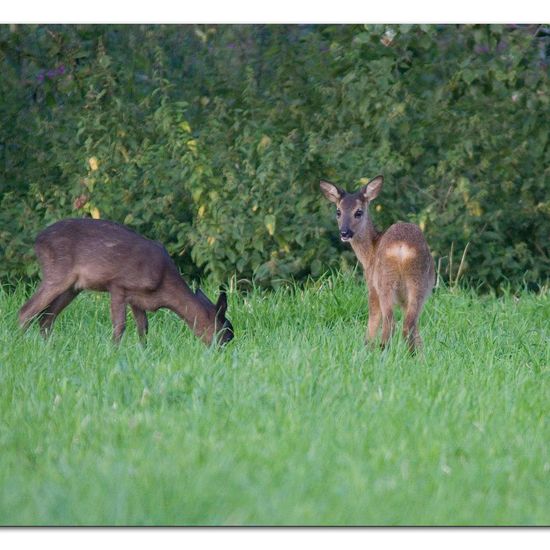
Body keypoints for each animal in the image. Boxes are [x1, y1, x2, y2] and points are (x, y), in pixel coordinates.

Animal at [18, 219, 235, 344]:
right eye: (226, 336)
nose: (222, 353)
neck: (163, 284)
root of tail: (37, 240)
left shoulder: (137, 299)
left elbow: (143, 328)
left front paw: (143, 352)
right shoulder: (118, 285)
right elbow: (120, 326)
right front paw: (113, 352)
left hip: (73, 287)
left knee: (46, 317)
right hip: (57, 273)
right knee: (26, 311)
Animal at [324, 176, 436, 354]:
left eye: (359, 212)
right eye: (338, 212)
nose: (344, 232)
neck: (370, 251)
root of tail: (402, 248)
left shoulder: (371, 286)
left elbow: (373, 320)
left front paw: (366, 347)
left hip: (384, 281)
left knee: (390, 322)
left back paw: (382, 351)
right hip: (419, 283)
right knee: (409, 323)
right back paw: (412, 355)